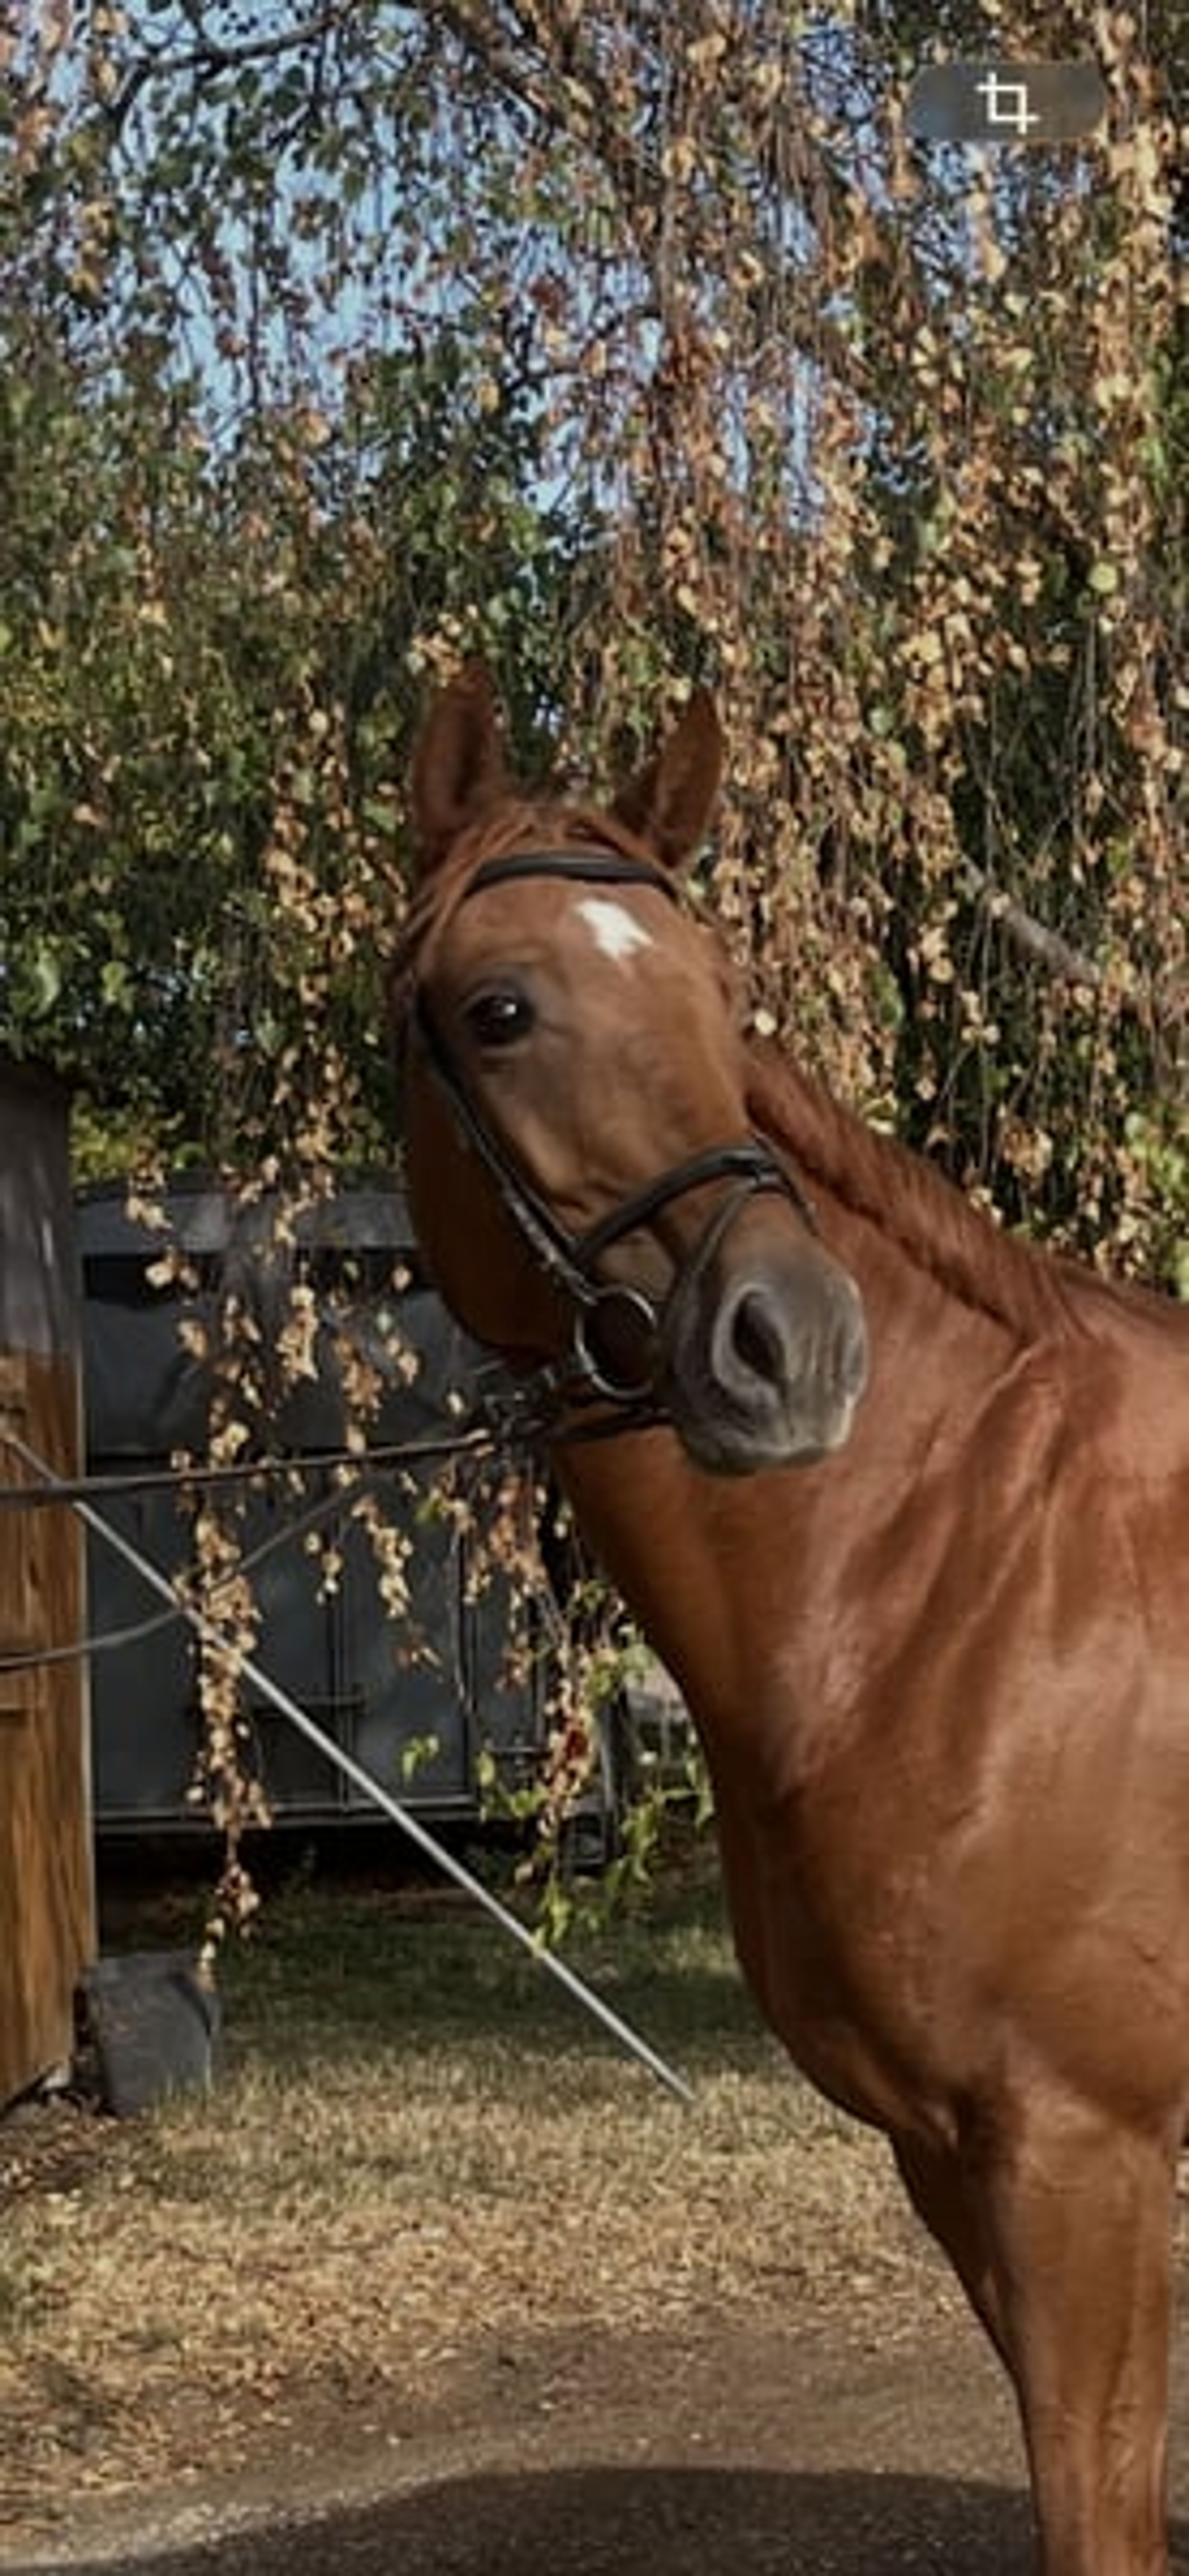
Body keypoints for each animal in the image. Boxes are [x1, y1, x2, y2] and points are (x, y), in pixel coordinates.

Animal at [394, 665, 1189, 2576]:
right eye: (499, 1009)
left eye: (715, 996)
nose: (791, 1342)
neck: (944, 1577)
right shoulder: (952, 2157)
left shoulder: (1086, 2151)